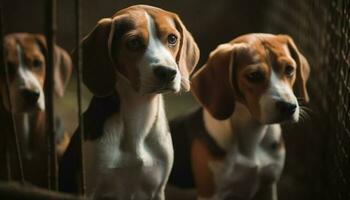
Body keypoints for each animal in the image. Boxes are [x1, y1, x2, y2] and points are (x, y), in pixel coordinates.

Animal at [58, 5, 198, 200]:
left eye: (172, 39)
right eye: (133, 42)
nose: (168, 72)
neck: (139, 111)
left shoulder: (157, 190)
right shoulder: (90, 190)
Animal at [168, 33, 310, 199]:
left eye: (289, 69)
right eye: (253, 75)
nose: (288, 107)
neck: (252, 133)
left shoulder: (268, 185)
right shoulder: (210, 194)